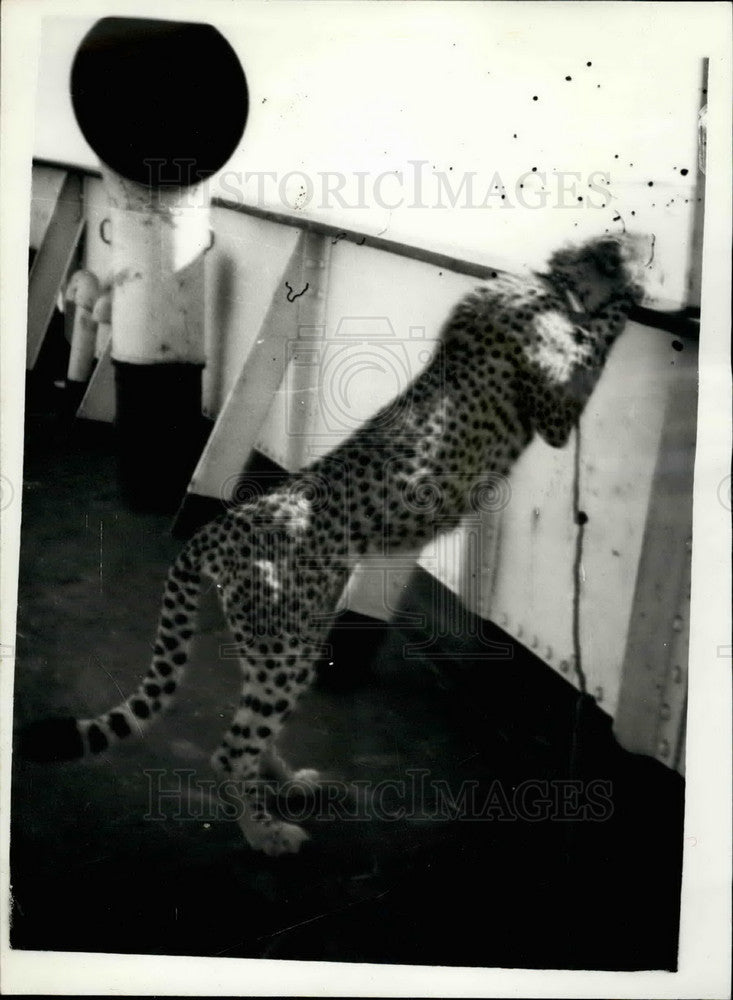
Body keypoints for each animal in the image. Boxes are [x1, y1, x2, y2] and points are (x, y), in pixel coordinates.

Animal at [22, 232, 648, 852]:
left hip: (281, 638)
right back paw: (265, 833)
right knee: (231, 750)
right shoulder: (555, 412)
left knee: (251, 727)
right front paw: (629, 291)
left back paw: (286, 781)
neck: (549, 282)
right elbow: (599, 335)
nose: (644, 250)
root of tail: (217, 527)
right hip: (284, 644)